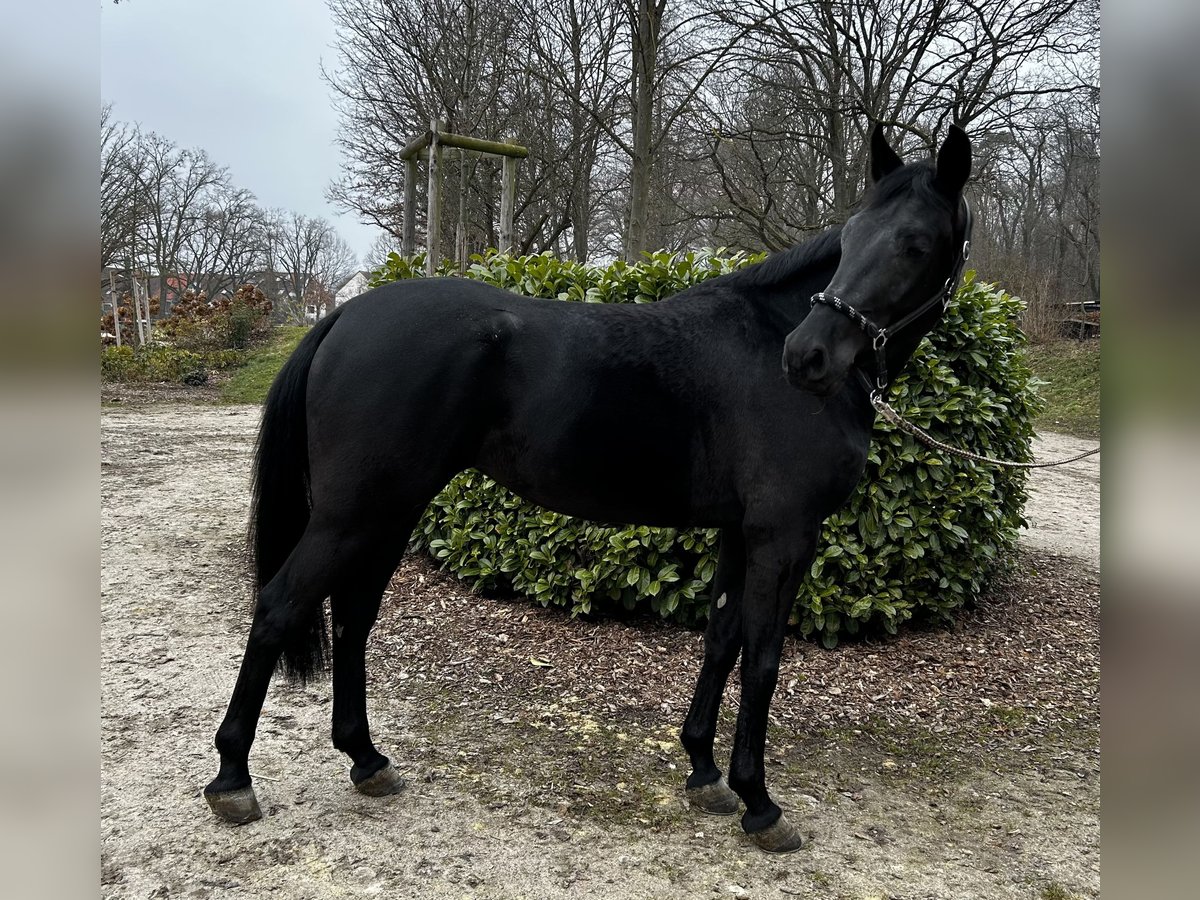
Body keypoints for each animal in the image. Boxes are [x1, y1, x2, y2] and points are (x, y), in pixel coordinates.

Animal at [204, 124, 972, 854]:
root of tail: (344, 315)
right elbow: (763, 660)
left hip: (388, 512)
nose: (807, 358)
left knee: (354, 616)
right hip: (352, 515)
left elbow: (721, 639)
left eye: (914, 243)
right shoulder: (785, 534)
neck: (767, 337)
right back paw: (233, 777)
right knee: (278, 605)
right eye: (851, 237)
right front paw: (759, 802)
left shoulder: (740, 530)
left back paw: (365, 759)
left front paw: (704, 770)